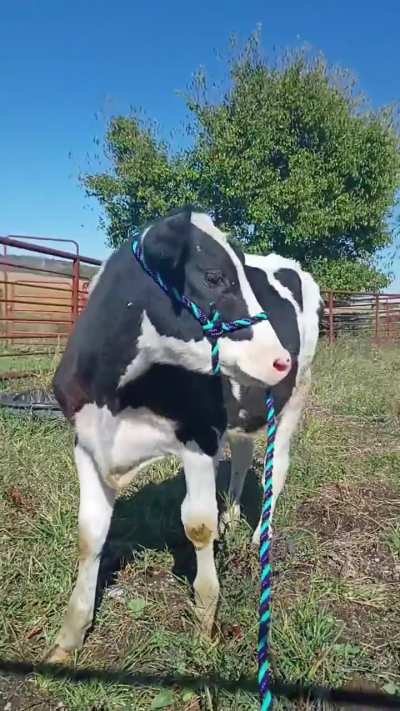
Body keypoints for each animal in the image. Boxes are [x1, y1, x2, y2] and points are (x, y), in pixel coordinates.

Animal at [47, 207, 321, 663]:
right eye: (213, 277)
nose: (281, 359)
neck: (118, 395)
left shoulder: (199, 439)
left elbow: (197, 525)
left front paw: (206, 622)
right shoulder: (85, 443)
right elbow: (89, 534)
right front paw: (69, 638)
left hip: (295, 395)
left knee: (277, 465)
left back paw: (259, 535)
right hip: (244, 407)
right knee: (242, 453)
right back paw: (232, 516)